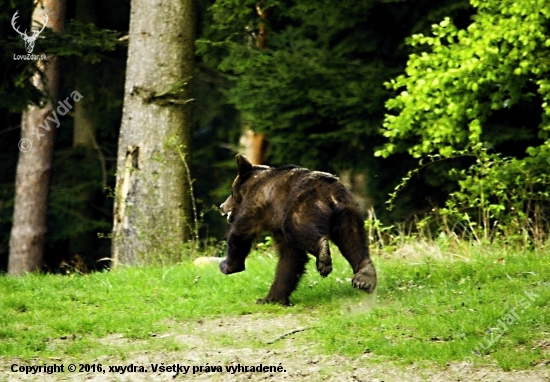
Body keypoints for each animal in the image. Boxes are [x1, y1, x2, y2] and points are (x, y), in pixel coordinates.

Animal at [220, 154, 380, 306]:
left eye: (231, 192)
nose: (222, 206)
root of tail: (330, 192)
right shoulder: (277, 227)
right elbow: (291, 258)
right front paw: (271, 299)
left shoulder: (257, 206)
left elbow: (241, 232)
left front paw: (227, 265)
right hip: (348, 213)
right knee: (352, 240)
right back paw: (365, 276)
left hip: (300, 206)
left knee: (297, 230)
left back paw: (323, 257)